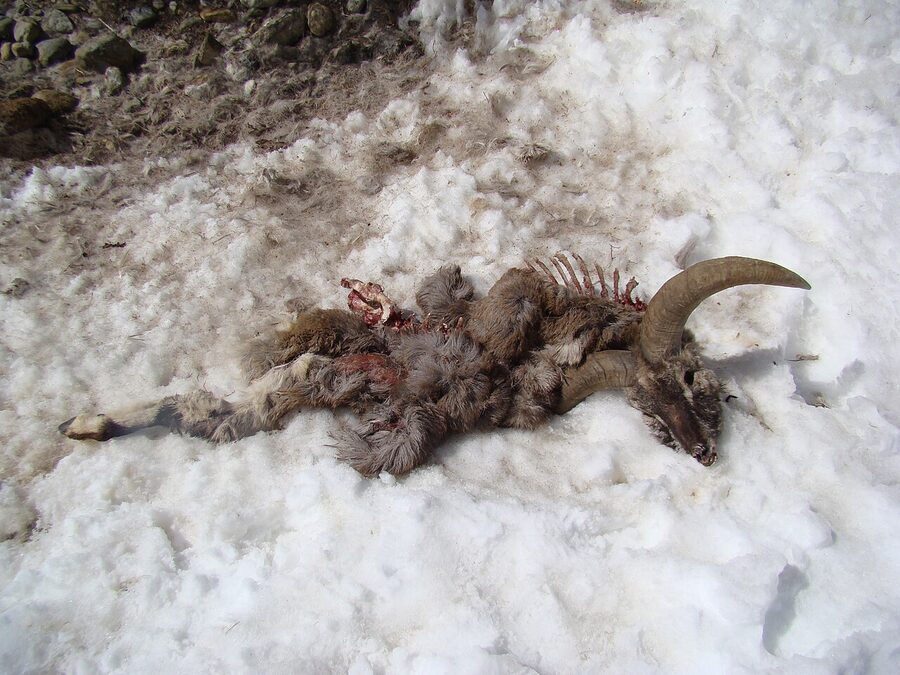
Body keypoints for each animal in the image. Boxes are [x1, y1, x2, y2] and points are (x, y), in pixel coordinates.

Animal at [59, 255, 810, 474]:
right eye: (692, 378)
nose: (704, 451)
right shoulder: (513, 309)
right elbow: (506, 303)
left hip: (305, 387)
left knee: (223, 411)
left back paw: (88, 423)